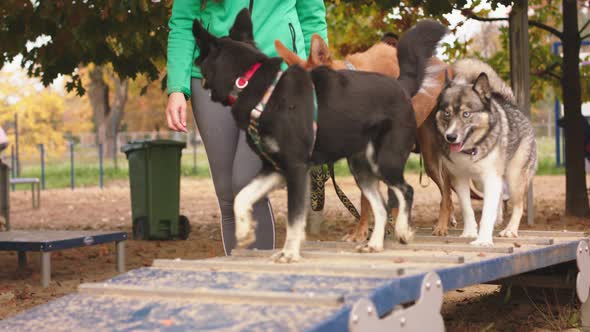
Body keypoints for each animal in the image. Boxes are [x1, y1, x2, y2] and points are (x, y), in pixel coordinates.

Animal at [278, 33, 458, 239]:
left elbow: (368, 199)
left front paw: (363, 232)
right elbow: (368, 198)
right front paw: (364, 230)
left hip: (430, 154)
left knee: (446, 188)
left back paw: (442, 224)